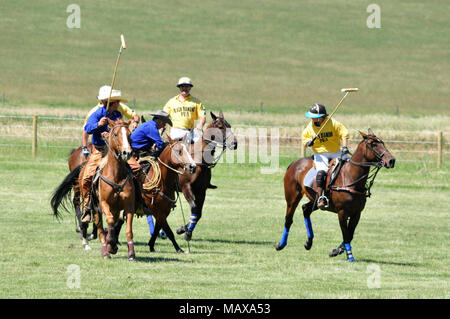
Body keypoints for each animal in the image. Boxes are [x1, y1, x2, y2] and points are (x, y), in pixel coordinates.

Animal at [176, 111, 239, 241]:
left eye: (229, 125)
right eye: (220, 126)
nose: (234, 143)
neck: (199, 159)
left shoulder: (201, 190)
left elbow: (198, 213)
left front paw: (183, 230)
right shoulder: (185, 187)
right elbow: (194, 208)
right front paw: (186, 232)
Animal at [276, 129, 396, 262]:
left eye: (383, 142)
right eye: (373, 144)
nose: (391, 160)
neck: (351, 178)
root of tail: (294, 163)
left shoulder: (357, 213)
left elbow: (350, 234)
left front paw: (336, 250)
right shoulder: (342, 212)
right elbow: (346, 235)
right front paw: (350, 256)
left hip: (315, 199)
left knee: (306, 209)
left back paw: (308, 242)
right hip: (292, 197)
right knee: (288, 219)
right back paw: (281, 244)